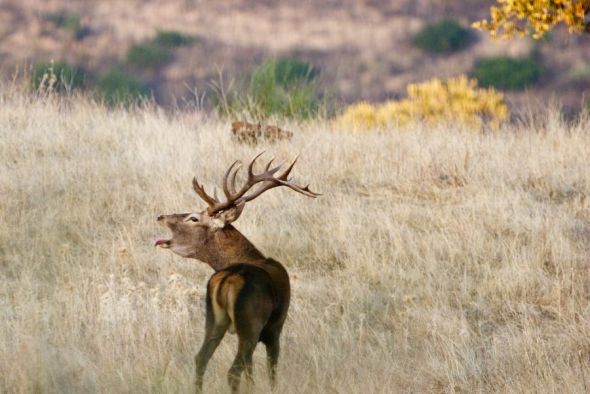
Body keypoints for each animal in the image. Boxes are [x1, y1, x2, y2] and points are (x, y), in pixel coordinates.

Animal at [155, 154, 316, 394]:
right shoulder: (276, 326)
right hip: (250, 323)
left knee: (201, 359)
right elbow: (271, 370)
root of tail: (227, 279)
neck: (251, 256)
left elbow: (252, 372)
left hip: (214, 319)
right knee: (232, 371)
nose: (160, 217)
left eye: (193, 218)